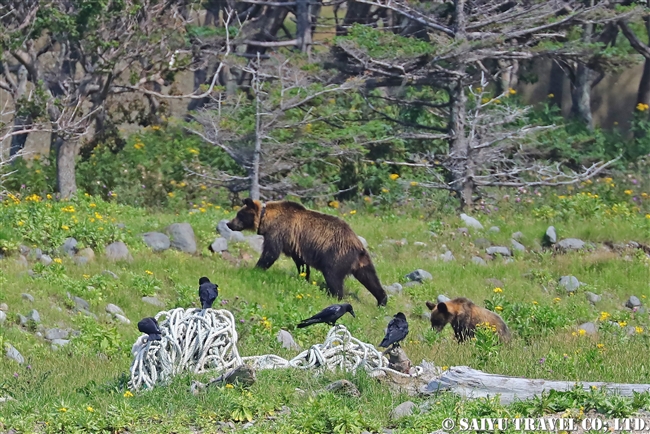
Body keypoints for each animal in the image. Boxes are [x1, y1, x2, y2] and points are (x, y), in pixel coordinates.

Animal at [225, 198, 388, 306]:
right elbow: (301, 263)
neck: (267, 219)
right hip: (361, 260)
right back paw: (382, 300)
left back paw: (334, 295)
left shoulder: (279, 231)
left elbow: (270, 253)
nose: (228, 223)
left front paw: (256, 268)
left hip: (336, 255)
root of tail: (357, 245)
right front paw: (303, 277)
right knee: (370, 277)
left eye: (239, 214)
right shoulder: (296, 245)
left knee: (333, 276)